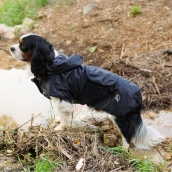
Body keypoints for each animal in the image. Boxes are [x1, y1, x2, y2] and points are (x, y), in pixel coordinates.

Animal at [9, 33, 164, 149]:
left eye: (22, 46)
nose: (11, 48)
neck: (51, 65)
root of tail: (138, 94)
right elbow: (63, 116)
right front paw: (59, 121)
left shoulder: (63, 101)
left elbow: (65, 119)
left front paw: (59, 128)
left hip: (120, 116)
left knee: (127, 134)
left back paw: (122, 149)